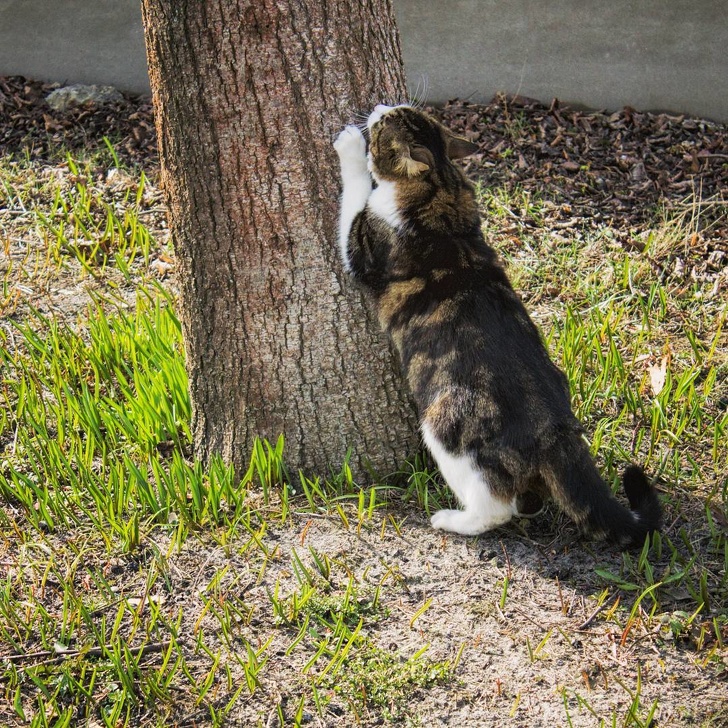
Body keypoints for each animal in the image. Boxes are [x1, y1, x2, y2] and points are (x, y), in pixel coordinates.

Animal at [332, 104, 664, 544]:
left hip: (446, 423)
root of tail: (556, 431)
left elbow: (354, 201)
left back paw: (453, 520)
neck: (441, 187)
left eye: (385, 124)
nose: (379, 107)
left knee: (495, 507)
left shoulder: (364, 247)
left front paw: (351, 148)